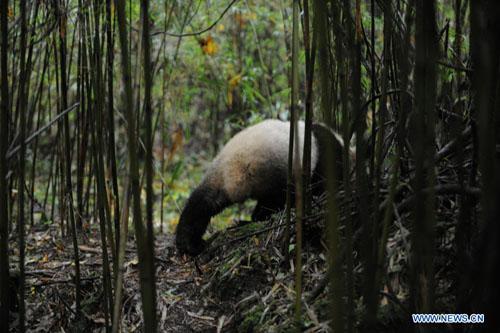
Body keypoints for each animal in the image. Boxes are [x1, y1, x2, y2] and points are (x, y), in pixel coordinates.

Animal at [175, 118, 344, 255]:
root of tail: (238, 165)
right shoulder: (325, 160)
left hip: (218, 175)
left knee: (201, 204)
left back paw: (189, 244)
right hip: (280, 173)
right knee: (277, 200)